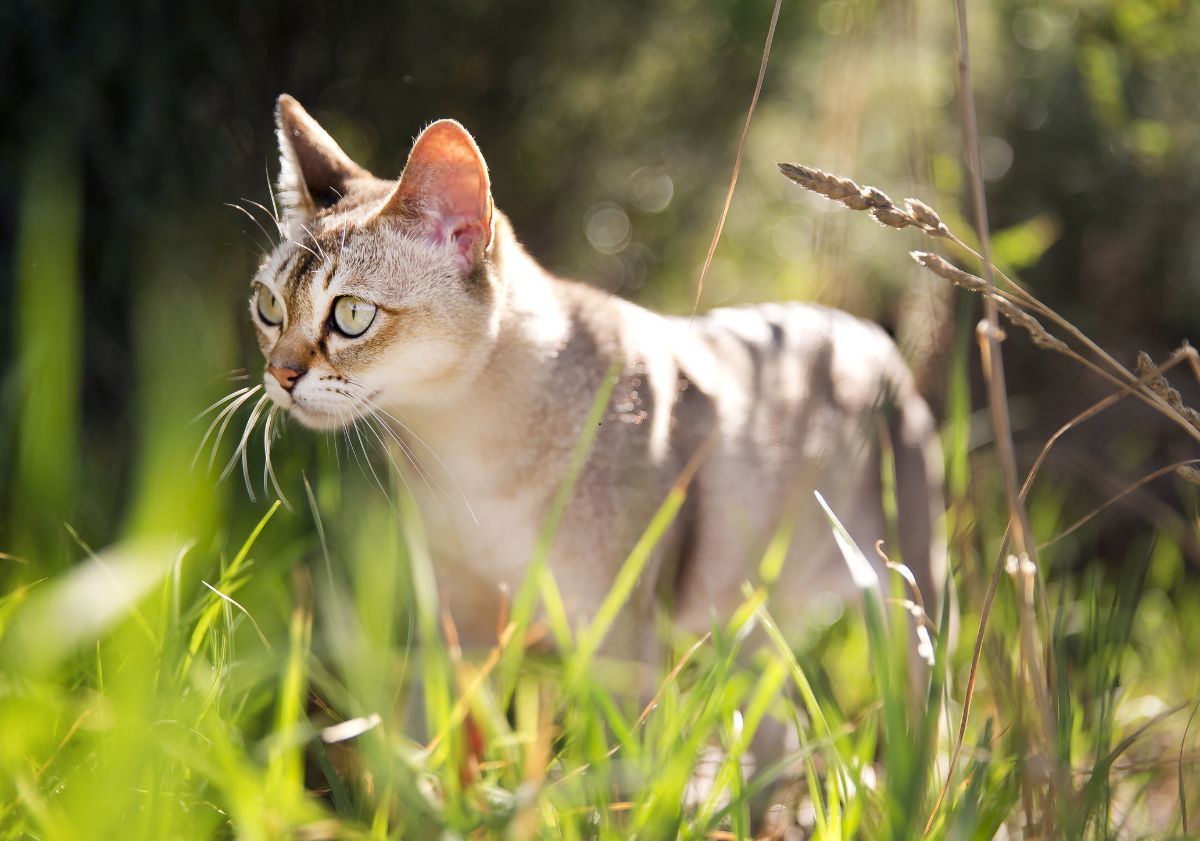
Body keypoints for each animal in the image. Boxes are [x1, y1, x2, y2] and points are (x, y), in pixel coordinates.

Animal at [253, 95, 945, 662]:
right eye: (268, 306)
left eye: (351, 315)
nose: (280, 374)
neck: (468, 454)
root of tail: (872, 333)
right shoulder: (461, 628)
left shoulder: (615, 642)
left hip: (912, 608)